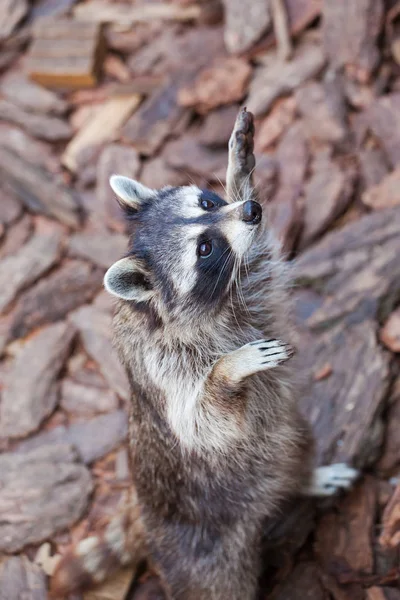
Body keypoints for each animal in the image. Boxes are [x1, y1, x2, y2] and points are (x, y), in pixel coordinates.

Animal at [50, 110, 360, 600]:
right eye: (204, 249)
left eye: (208, 203)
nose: (250, 211)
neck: (158, 311)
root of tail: (143, 510)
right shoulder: (163, 368)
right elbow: (202, 421)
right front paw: (226, 371)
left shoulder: (247, 289)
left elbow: (259, 259)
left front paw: (238, 166)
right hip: (200, 550)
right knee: (219, 585)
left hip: (286, 438)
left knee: (295, 447)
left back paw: (304, 476)